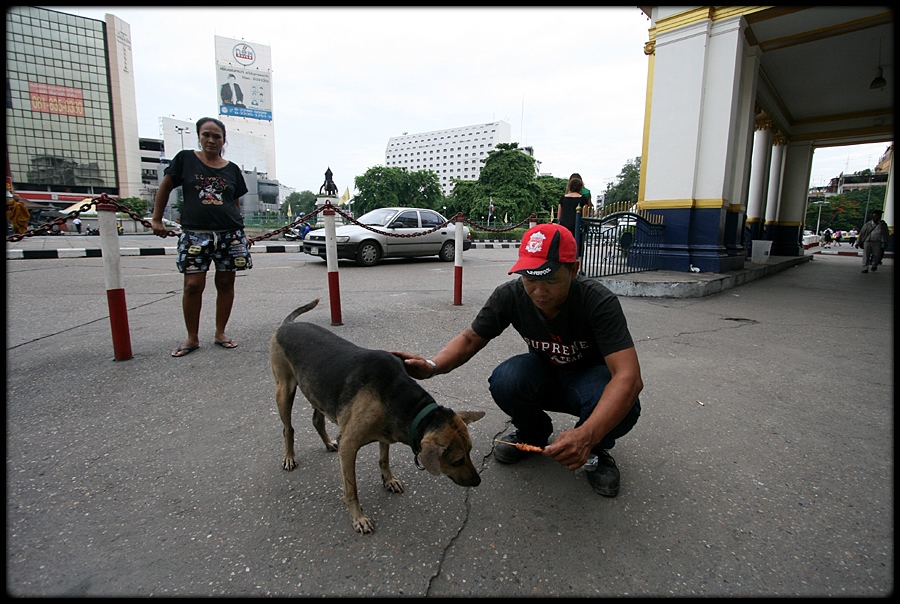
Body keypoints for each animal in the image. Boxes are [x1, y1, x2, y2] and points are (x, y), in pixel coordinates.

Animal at [270, 298, 486, 532]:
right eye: (457, 461)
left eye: (470, 451)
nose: (478, 482)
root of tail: (287, 325)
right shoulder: (348, 447)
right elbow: (351, 488)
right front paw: (358, 517)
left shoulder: (386, 433)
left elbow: (383, 459)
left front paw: (388, 480)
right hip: (284, 390)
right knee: (288, 428)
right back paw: (289, 457)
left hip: (316, 390)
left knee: (317, 420)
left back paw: (327, 442)